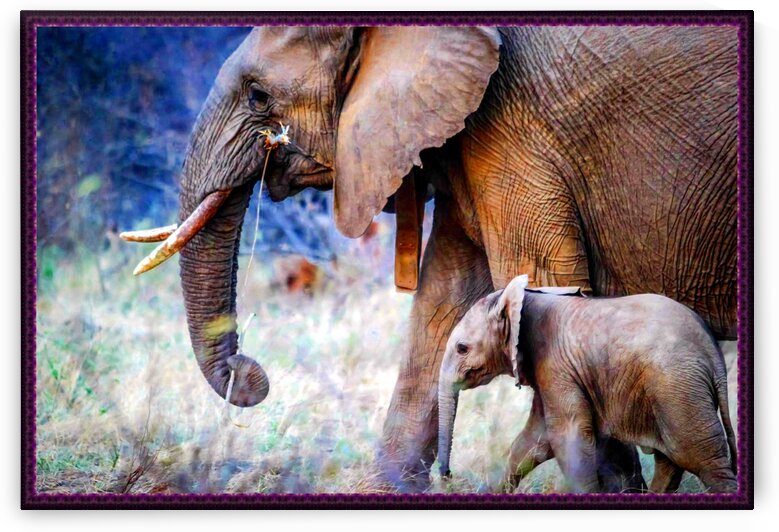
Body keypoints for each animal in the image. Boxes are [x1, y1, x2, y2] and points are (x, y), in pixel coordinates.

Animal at [437, 275, 738, 493]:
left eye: (462, 348)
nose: (447, 476)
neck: (524, 298)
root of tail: (713, 353)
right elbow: (534, 441)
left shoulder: (555, 364)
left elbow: (568, 436)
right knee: (672, 460)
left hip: (676, 387)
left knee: (700, 458)